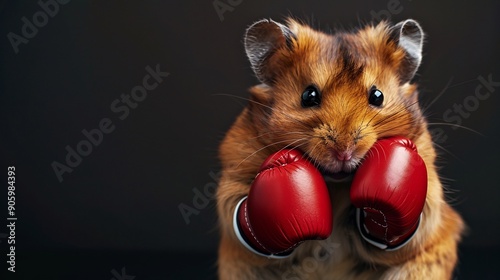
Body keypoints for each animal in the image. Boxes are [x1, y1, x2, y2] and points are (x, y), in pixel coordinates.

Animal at [216, 18, 464, 280]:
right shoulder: (235, 171)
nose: (344, 153)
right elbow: (240, 209)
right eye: (308, 95)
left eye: (377, 96)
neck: (336, 183)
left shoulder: (430, 192)